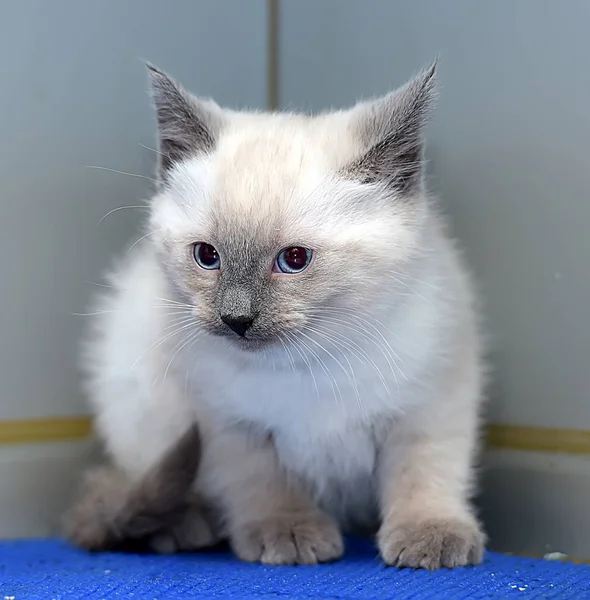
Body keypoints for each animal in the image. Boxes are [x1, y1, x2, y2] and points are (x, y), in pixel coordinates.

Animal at [81, 63, 488, 568]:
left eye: (294, 259)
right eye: (207, 256)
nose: (236, 318)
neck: (309, 363)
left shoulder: (429, 403)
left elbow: (424, 473)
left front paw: (430, 536)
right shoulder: (229, 424)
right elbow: (265, 485)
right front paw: (289, 534)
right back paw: (184, 527)